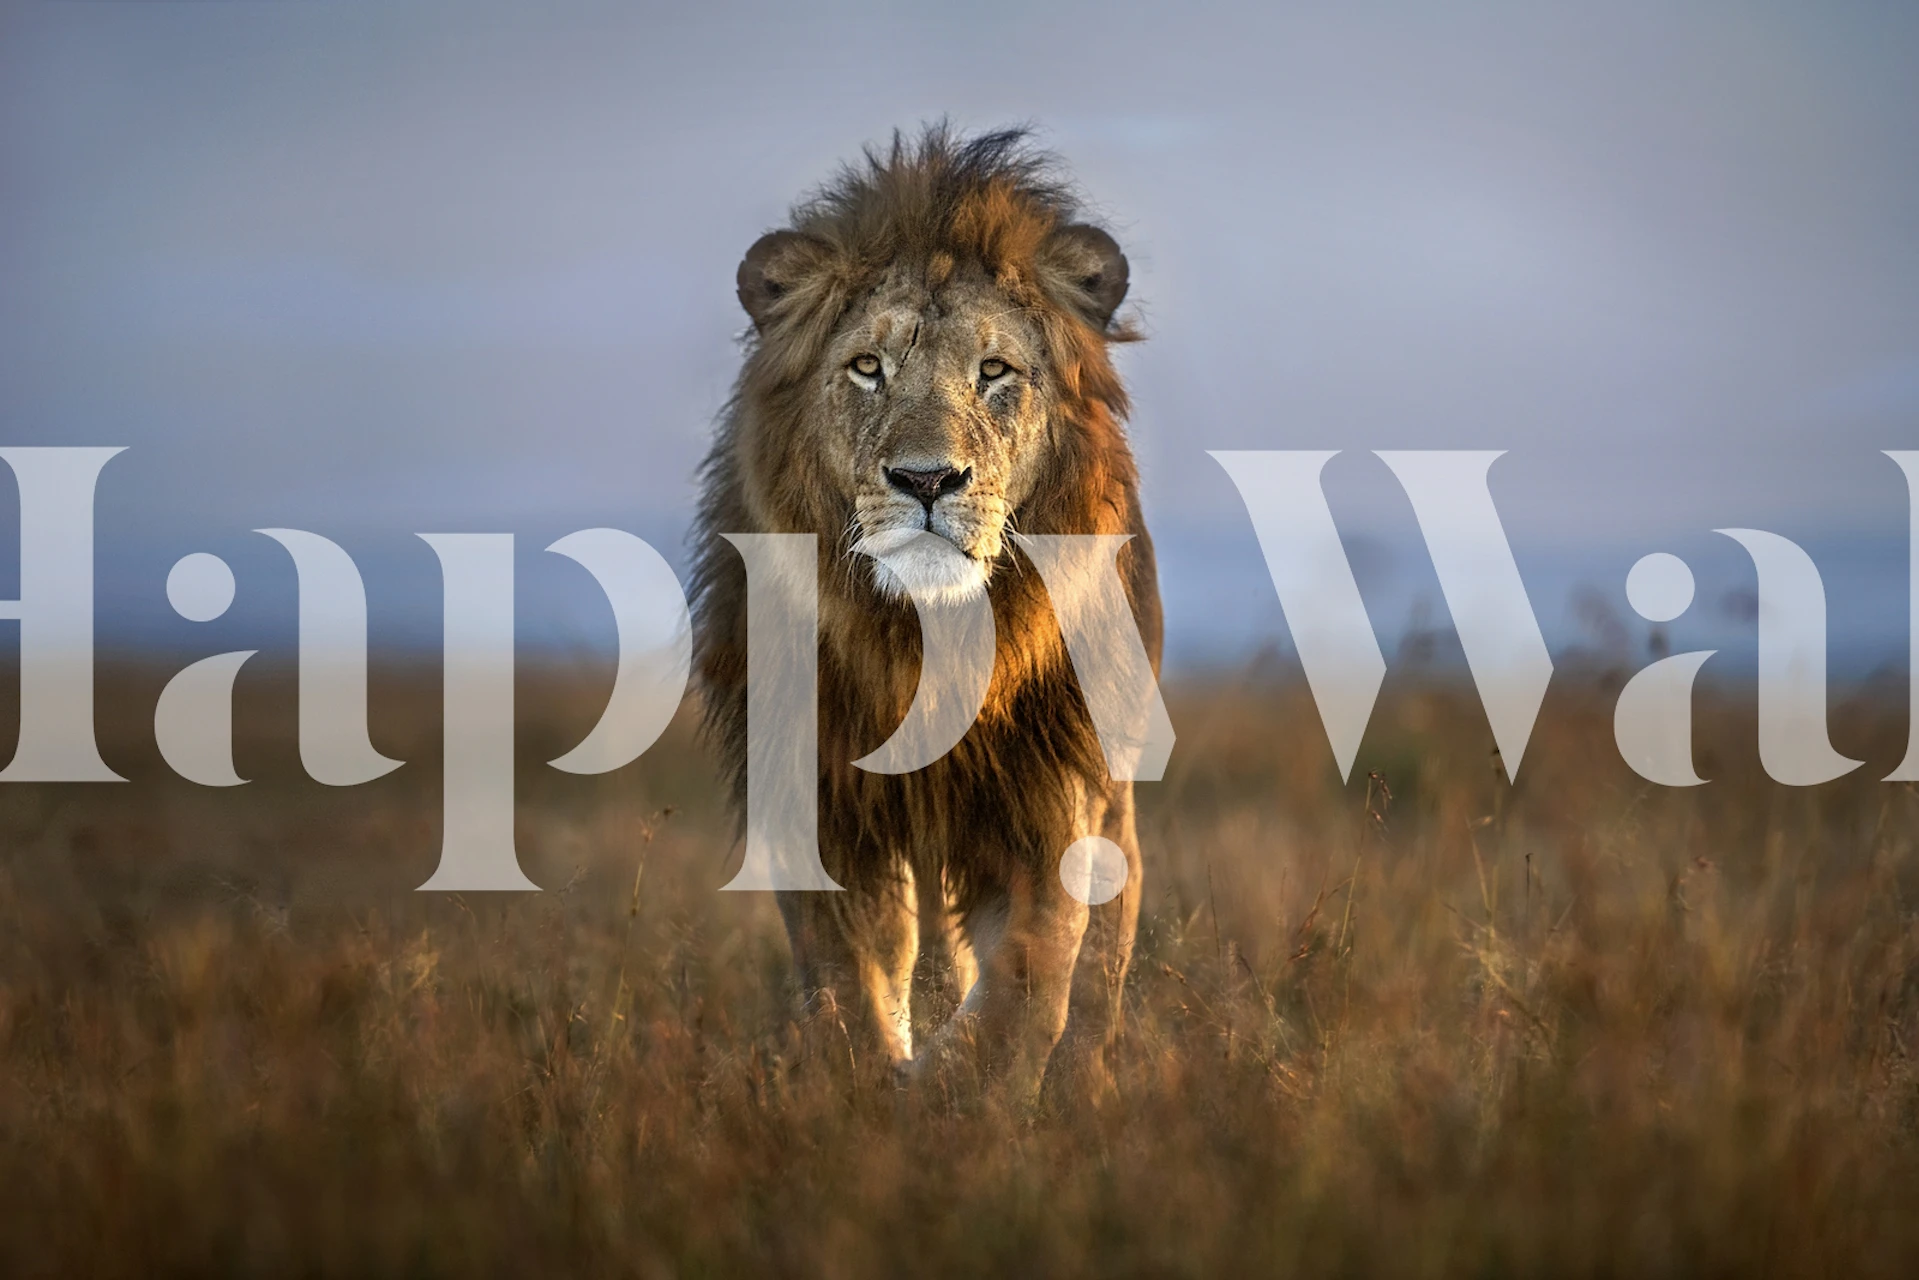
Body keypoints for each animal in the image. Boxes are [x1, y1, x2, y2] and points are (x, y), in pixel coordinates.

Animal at [690, 124, 1161, 1104]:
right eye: (867, 368)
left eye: (995, 372)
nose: (927, 480)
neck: (924, 642)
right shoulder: (823, 800)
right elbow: (852, 978)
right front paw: (873, 1090)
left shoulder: (1051, 796)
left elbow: (1028, 977)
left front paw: (960, 1093)